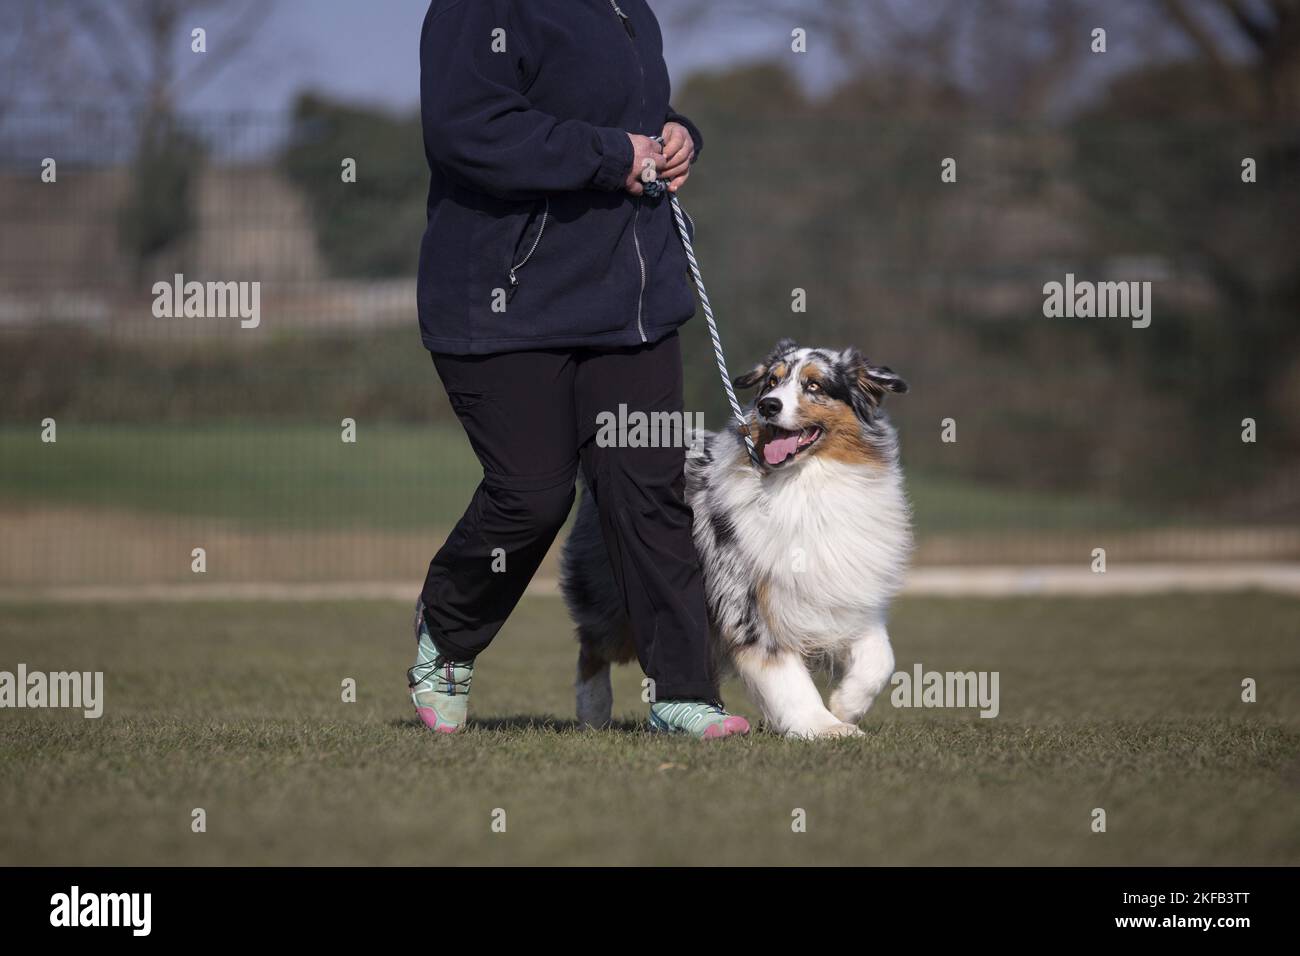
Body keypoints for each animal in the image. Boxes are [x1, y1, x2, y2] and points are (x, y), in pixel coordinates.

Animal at [561, 338, 915, 738]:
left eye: (814, 385)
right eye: (772, 382)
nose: (768, 405)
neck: (807, 482)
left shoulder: (844, 595)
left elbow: (880, 656)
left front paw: (846, 704)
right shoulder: (749, 604)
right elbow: (788, 678)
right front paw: (823, 726)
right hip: (613, 596)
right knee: (593, 646)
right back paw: (594, 712)